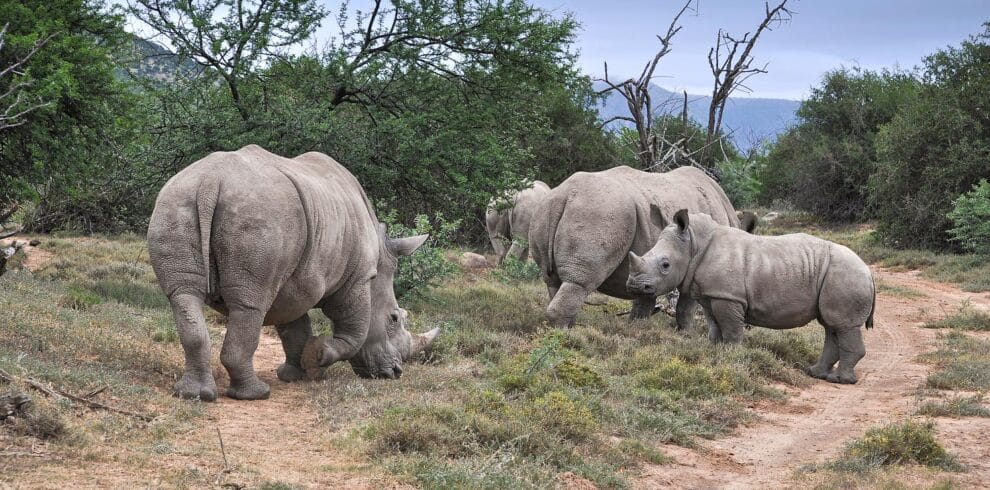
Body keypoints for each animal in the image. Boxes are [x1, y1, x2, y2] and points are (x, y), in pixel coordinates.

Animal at [148, 145, 439, 401]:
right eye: (394, 318)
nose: (395, 372)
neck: (380, 256)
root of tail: (210, 182)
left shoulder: (296, 281)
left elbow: (294, 327)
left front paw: (297, 373)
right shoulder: (358, 278)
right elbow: (354, 332)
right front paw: (317, 358)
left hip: (175, 204)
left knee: (184, 295)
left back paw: (193, 394)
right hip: (261, 217)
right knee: (250, 305)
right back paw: (256, 394)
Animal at [528, 166, 746, 327]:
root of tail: (564, 195)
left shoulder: (649, 273)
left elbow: (645, 301)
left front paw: (636, 329)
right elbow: (686, 308)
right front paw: (687, 334)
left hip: (545, 211)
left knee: (553, 281)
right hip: (600, 214)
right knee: (579, 281)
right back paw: (565, 334)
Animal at [627, 210, 875, 384]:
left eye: (665, 265)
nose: (633, 285)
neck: (694, 244)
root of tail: (868, 269)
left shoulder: (728, 297)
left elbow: (731, 329)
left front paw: (732, 356)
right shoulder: (711, 295)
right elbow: (714, 327)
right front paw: (716, 351)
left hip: (846, 275)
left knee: (842, 325)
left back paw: (839, 380)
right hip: (838, 277)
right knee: (831, 325)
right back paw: (815, 373)